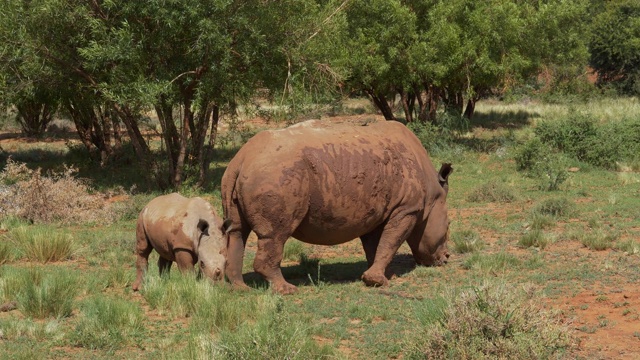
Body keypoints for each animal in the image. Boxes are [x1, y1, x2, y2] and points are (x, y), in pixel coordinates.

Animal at [222, 119, 452, 294]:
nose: (446, 258)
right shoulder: (407, 208)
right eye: (449, 225)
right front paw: (379, 281)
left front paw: (376, 275)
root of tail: (241, 159)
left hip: (250, 173)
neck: (433, 193)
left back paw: (240, 288)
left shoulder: (376, 211)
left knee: (237, 231)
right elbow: (392, 240)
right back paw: (287, 290)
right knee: (276, 234)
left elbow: (376, 244)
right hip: (276, 175)